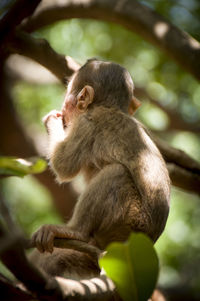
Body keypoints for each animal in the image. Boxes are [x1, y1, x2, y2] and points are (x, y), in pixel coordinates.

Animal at [30, 58, 170, 278]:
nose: (63, 108)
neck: (108, 106)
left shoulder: (87, 124)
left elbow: (63, 165)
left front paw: (52, 119)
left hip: (129, 222)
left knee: (116, 172)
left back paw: (76, 231)